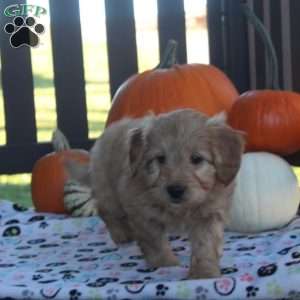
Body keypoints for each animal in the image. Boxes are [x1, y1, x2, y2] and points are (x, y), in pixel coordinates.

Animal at [67, 108, 244, 278]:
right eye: (160, 158)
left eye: (196, 159)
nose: (175, 190)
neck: (179, 210)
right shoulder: (142, 213)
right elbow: (154, 241)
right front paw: (164, 264)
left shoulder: (209, 215)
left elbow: (205, 245)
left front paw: (204, 273)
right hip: (109, 193)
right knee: (106, 211)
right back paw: (122, 234)